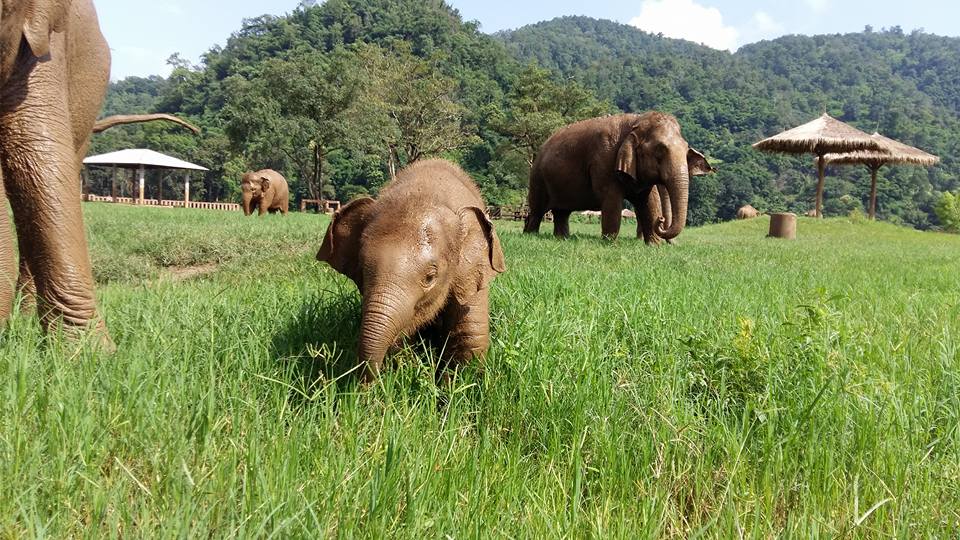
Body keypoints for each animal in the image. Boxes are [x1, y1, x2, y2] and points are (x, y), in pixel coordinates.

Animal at [318, 158, 506, 382]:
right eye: (362, 271)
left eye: (430, 277)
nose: (364, 387)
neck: (427, 191)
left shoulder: (471, 275)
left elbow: (469, 338)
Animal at [524, 112, 712, 243]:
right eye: (660, 151)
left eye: (686, 150)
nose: (661, 219)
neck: (635, 121)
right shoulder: (603, 161)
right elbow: (611, 200)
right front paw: (609, 244)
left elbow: (649, 202)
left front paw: (654, 246)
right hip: (537, 177)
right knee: (537, 210)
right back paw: (530, 235)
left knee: (562, 212)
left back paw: (561, 239)